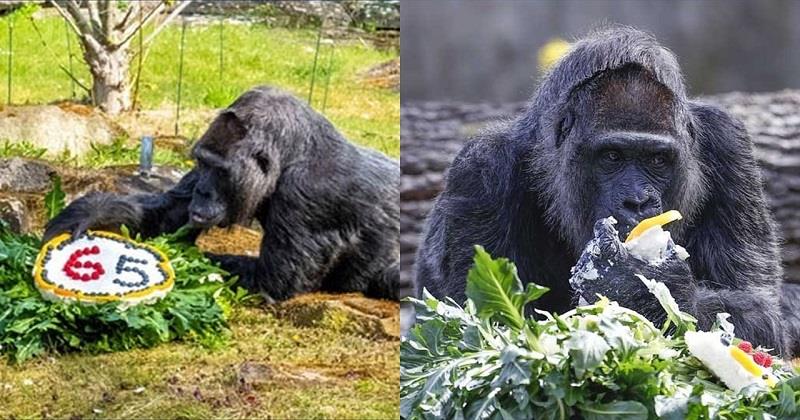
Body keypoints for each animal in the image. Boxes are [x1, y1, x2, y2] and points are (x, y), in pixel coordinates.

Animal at [43, 86, 400, 302]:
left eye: (221, 171)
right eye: (202, 163)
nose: (202, 190)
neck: (293, 155)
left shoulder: (309, 196)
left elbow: (271, 282)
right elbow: (166, 216)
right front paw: (90, 214)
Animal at [416, 27, 796, 354]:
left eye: (657, 160)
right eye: (612, 156)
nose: (637, 201)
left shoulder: (729, 144)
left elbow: (759, 311)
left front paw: (639, 286)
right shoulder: (480, 173)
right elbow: (483, 332)